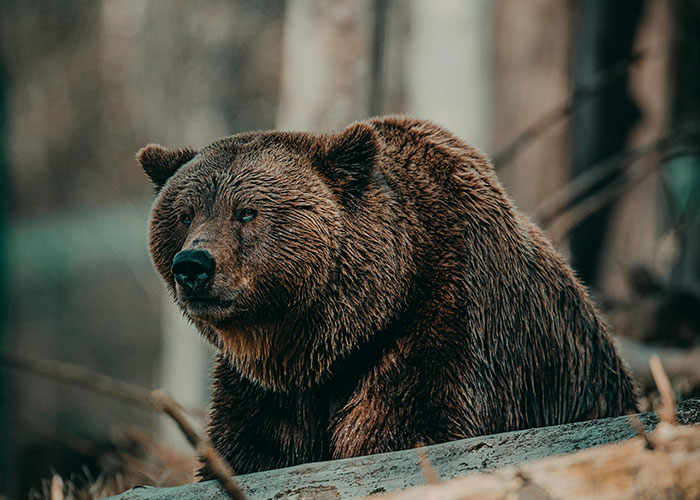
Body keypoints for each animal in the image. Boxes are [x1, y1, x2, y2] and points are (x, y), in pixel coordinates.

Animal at [137, 116, 637, 478]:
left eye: (247, 212)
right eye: (185, 214)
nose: (193, 265)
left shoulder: (444, 326)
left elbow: (408, 428)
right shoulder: (265, 390)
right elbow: (249, 450)